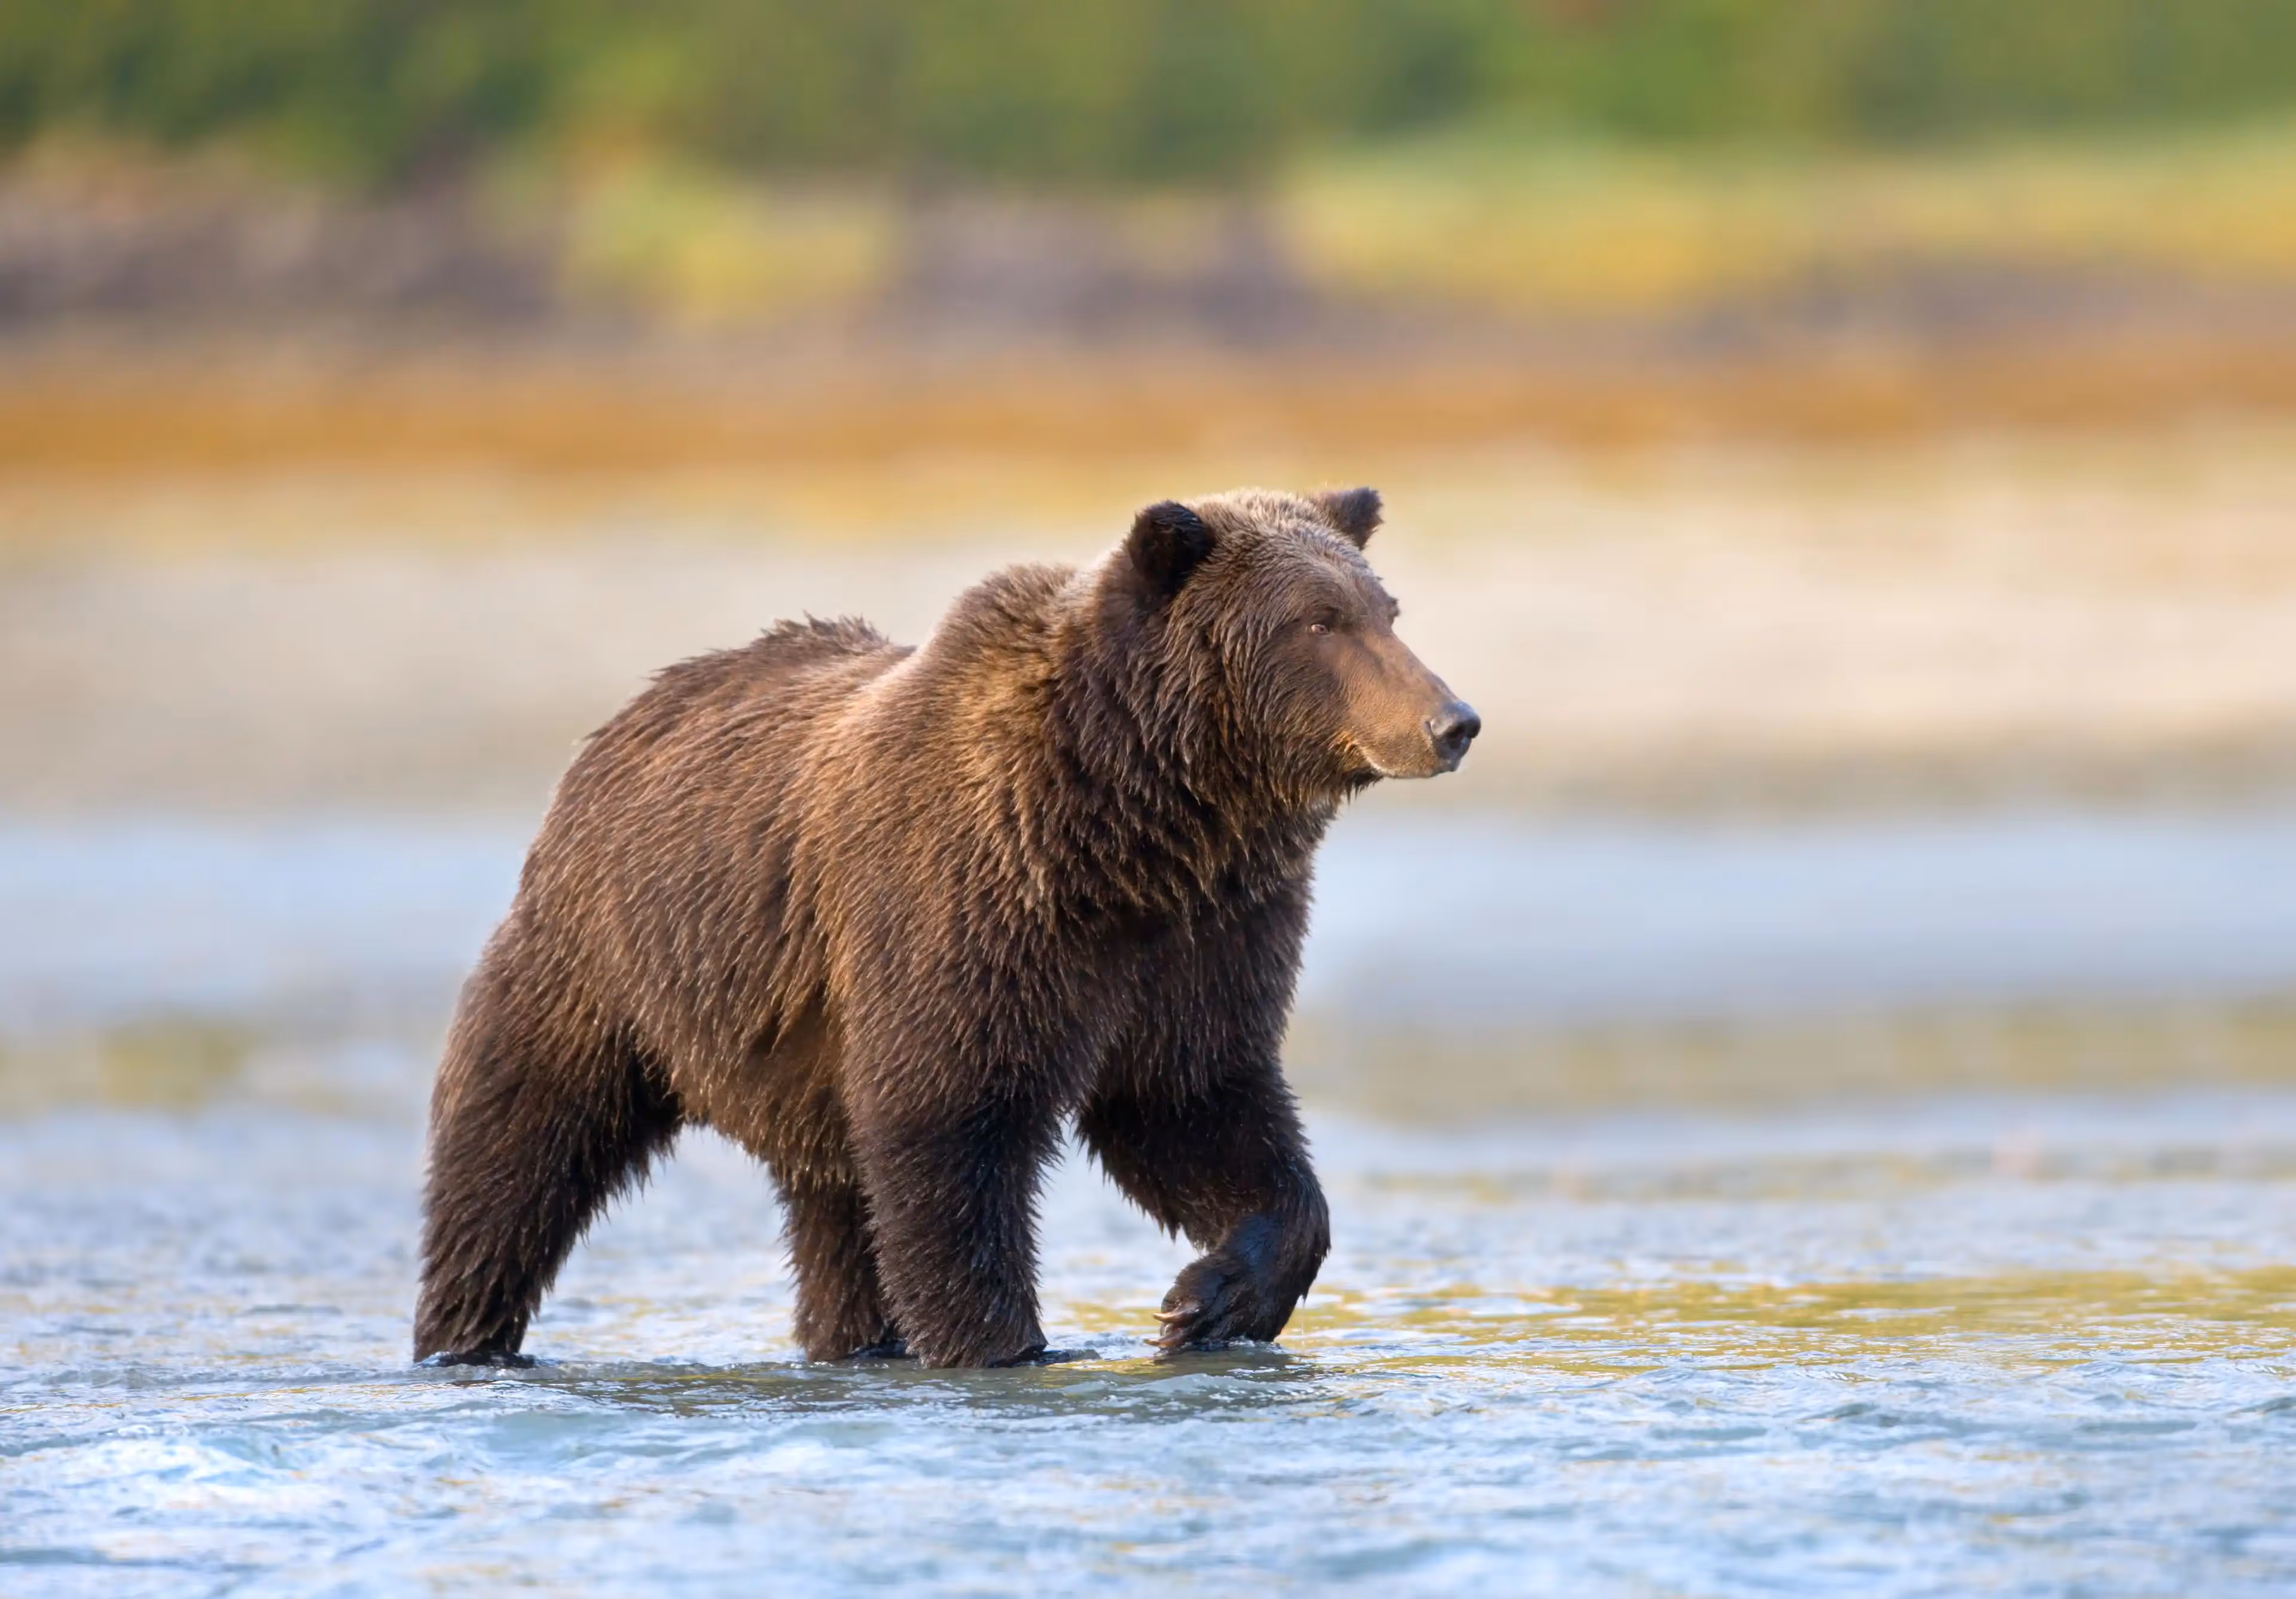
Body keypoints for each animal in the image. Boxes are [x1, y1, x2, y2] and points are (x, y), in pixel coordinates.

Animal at [412, 486, 1479, 1368]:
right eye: (1318, 620)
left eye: (1385, 609)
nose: (1452, 719)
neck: (1134, 826)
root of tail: (626, 716)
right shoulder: (968, 906)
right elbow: (951, 1126)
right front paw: (1007, 1342)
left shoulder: (1205, 935)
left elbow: (1197, 1102)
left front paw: (1205, 1302)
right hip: (605, 961)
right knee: (518, 1148)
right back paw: (465, 1335)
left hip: (800, 1061)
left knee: (836, 1213)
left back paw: (852, 1342)